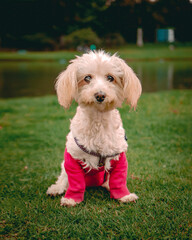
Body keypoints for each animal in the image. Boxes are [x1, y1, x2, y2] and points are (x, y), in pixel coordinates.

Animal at [46, 50, 141, 206]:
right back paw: (56, 189)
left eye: (110, 77)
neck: (98, 121)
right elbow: (75, 183)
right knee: (63, 178)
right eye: (87, 78)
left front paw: (124, 196)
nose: (100, 95)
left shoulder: (119, 157)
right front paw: (71, 199)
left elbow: (119, 180)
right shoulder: (72, 158)